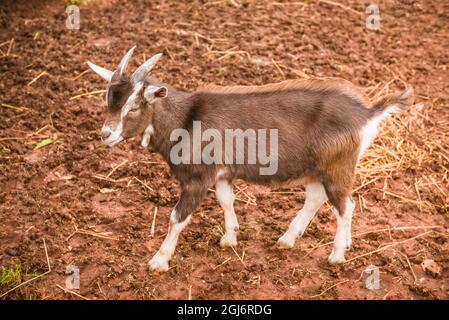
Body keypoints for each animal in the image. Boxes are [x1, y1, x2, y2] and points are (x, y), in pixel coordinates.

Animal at [86, 47, 412, 272]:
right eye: (108, 100)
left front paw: (158, 261)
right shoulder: (221, 173)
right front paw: (230, 238)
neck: (185, 119)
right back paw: (288, 240)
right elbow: (226, 200)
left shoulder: (197, 178)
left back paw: (337, 255)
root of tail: (367, 113)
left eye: (134, 107)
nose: (105, 134)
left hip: (337, 166)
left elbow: (177, 218)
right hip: (316, 168)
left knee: (345, 206)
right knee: (317, 198)